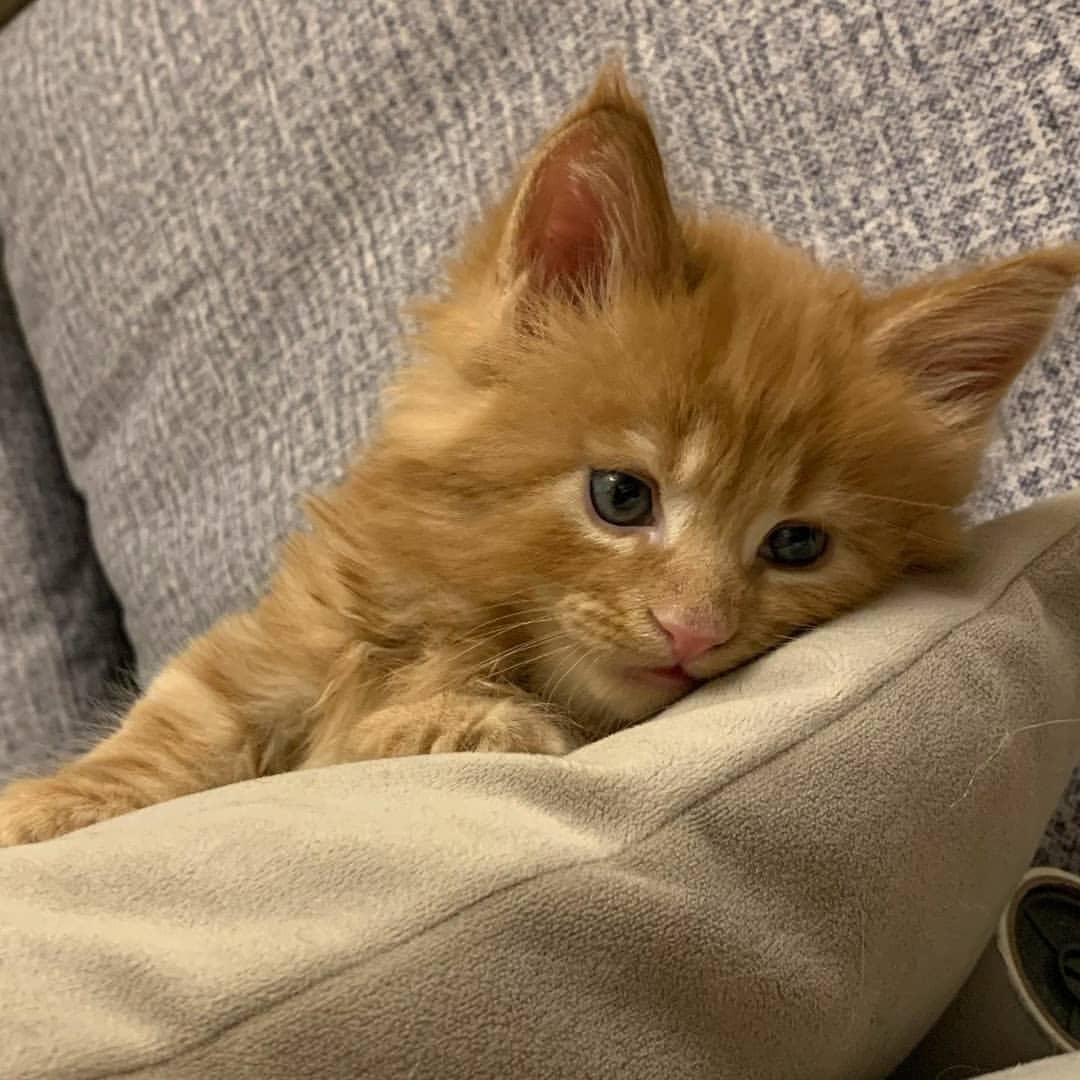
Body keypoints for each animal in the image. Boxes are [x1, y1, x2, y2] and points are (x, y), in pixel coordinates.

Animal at [1, 65, 1077, 846]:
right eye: (621, 496)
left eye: (797, 546)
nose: (694, 631)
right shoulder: (272, 646)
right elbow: (172, 733)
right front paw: (43, 808)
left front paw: (438, 723)